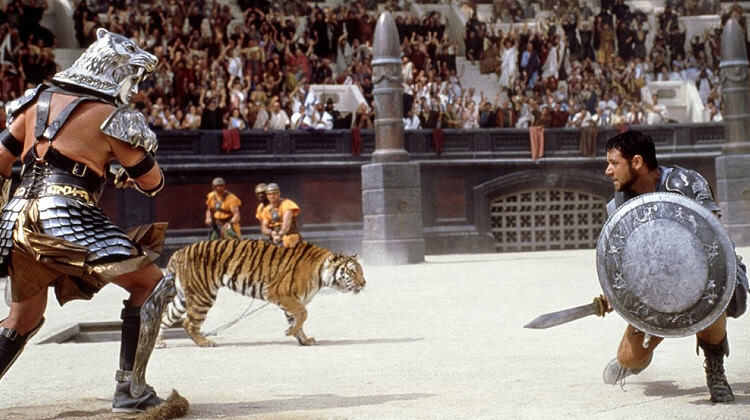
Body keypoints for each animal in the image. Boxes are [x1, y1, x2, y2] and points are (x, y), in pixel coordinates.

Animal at [154, 240, 366, 348]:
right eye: (352, 271)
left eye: (361, 271)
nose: (364, 283)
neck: (322, 274)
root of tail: (178, 252)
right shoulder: (280, 293)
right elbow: (303, 314)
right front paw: (290, 333)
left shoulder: (291, 300)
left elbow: (297, 319)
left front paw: (303, 339)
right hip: (203, 295)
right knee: (189, 323)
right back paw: (205, 342)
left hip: (183, 298)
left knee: (165, 316)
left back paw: (159, 343)